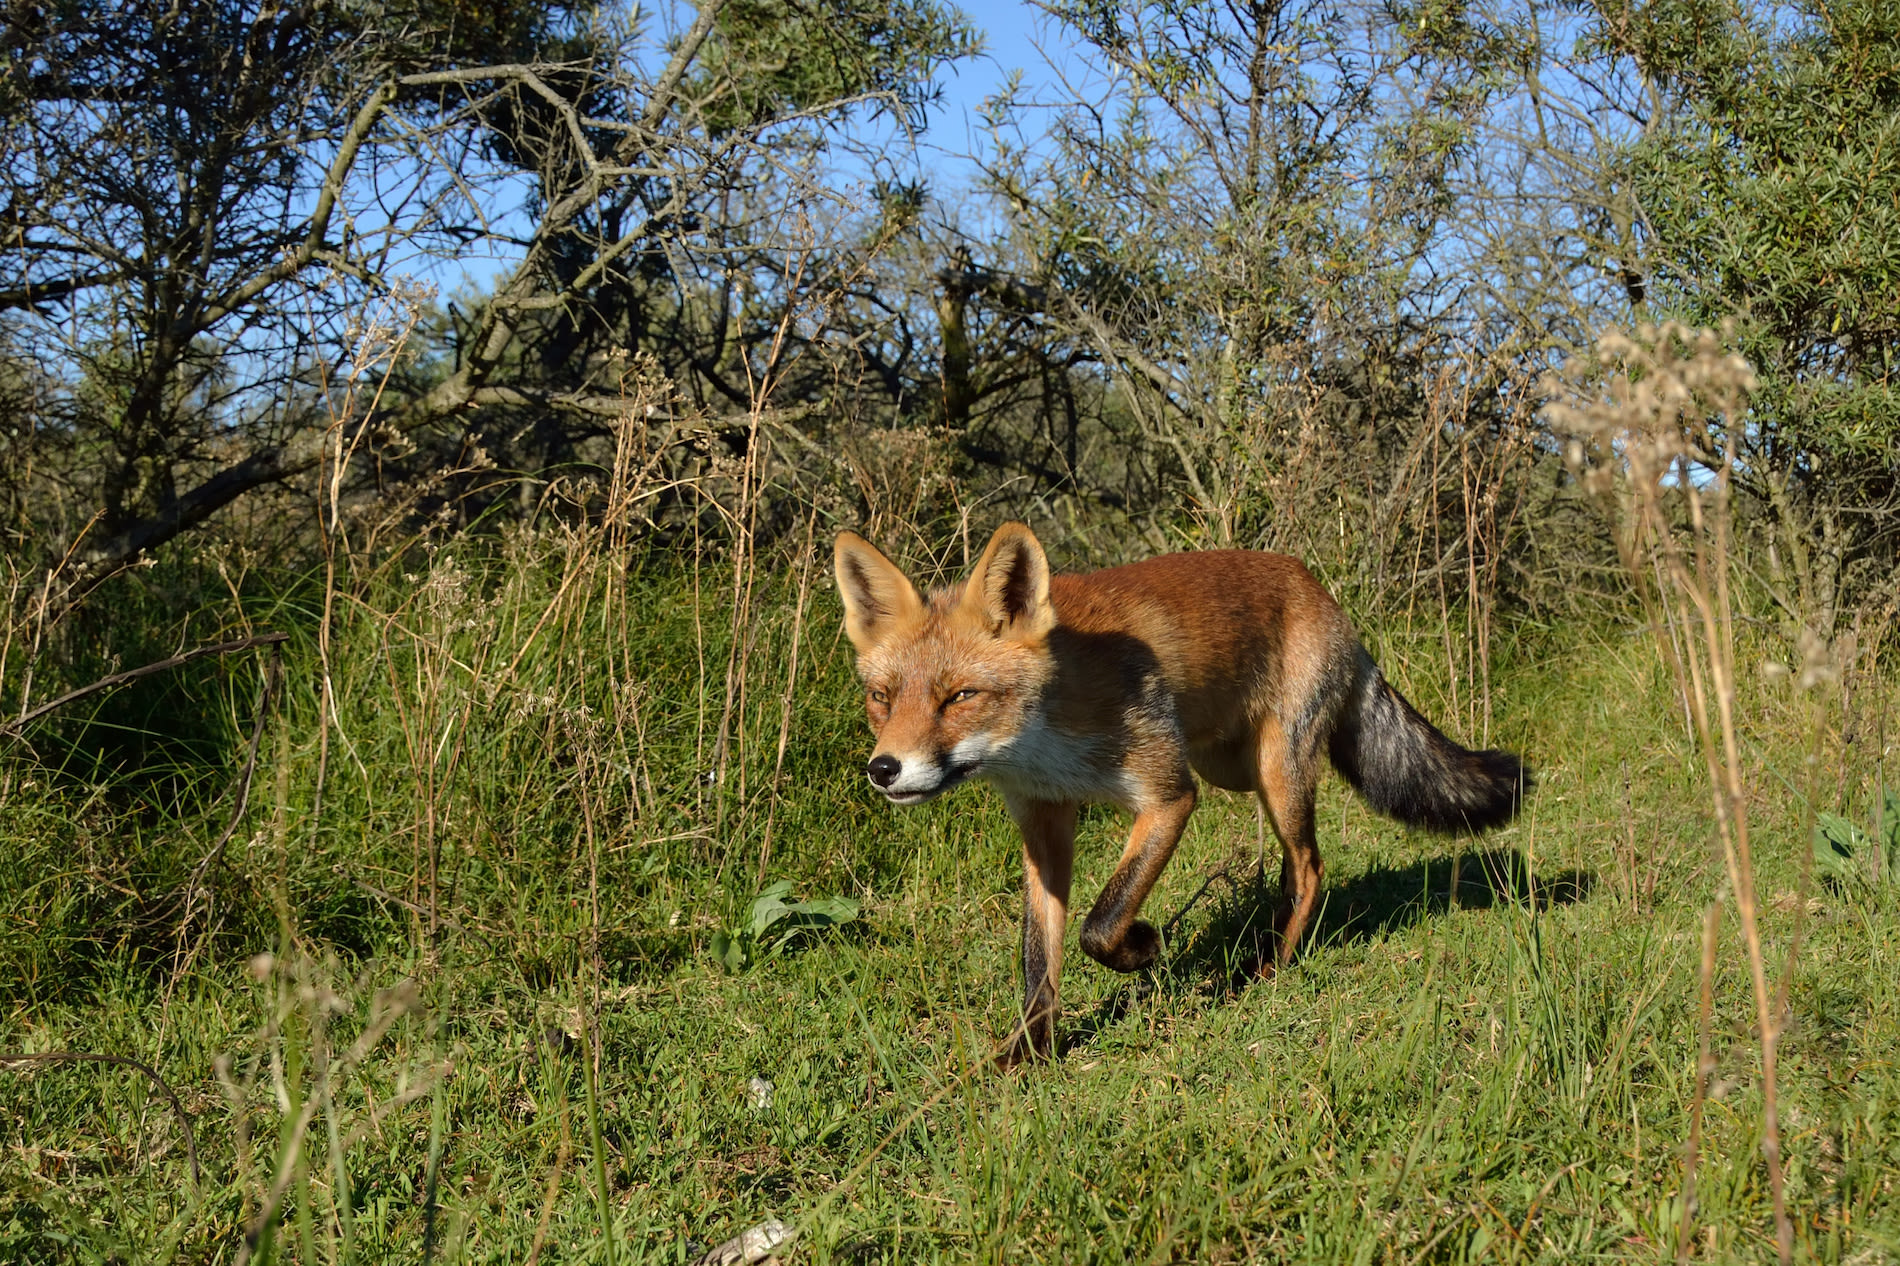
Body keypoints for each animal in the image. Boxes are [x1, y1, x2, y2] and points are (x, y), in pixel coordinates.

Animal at [832, 517, 1527, 1056]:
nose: (884, 768)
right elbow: (1039, 957)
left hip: (1275, 771)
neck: (1048, 740)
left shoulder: (1168, 792)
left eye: (960, 697)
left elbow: (1101, 924)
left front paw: (1143, 948)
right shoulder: (1044, 822)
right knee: (1293, 864)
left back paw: (1271, 967)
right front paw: (1028, 1052)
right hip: (1238, 772)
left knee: (1310, 867)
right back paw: (1267, 936)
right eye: (882, 698)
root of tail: (1318, 590)